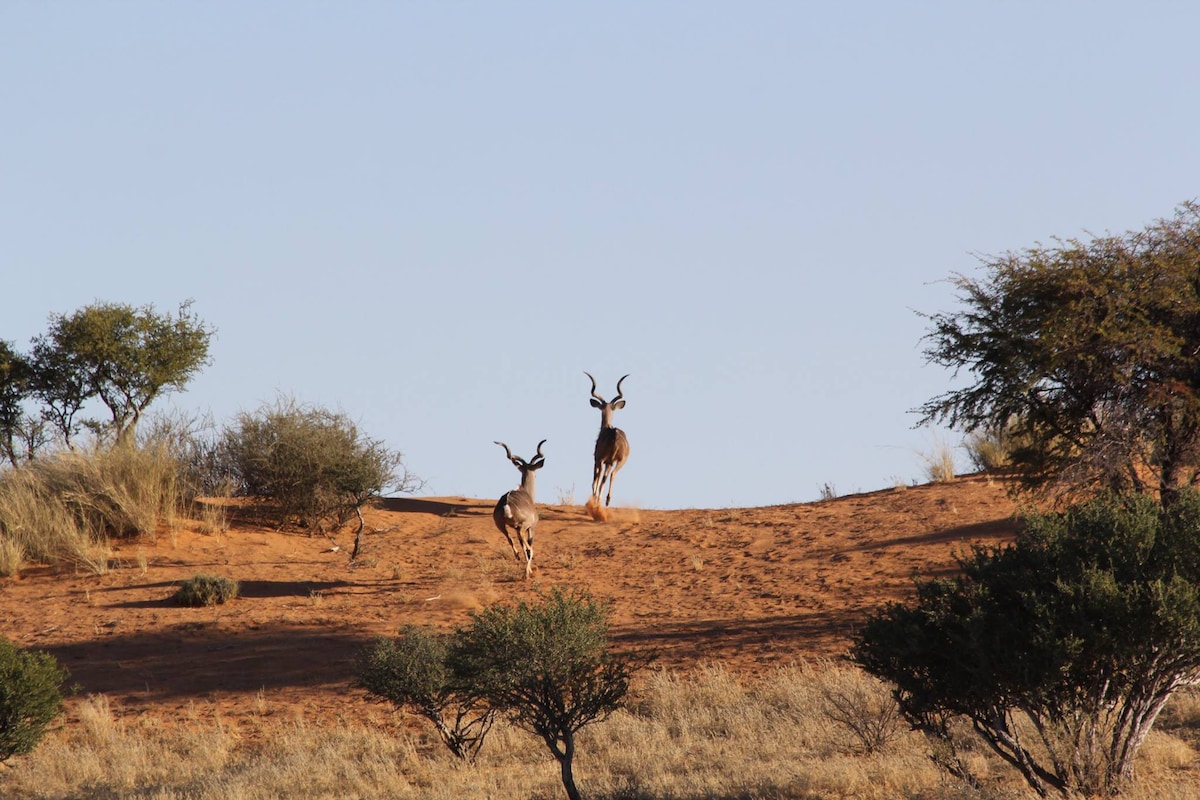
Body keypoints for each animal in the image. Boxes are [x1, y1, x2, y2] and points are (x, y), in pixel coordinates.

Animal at [489, 438, 547, 582]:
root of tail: (506, 502)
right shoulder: (531, 528)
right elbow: (528, 546)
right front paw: (528, 571)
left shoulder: (514, 528)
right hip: (522, 526)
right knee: (528, 547)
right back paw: (526, 570)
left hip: (501, 525)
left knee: (510, 539)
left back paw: (518, 557)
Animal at [588, 371, 633, 506]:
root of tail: (615, 434)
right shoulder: (607, 461)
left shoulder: (598, 459)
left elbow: (595, 479)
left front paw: (594, 498)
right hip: (619, 461)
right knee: (612, 474)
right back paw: (607, 500)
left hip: (605, 460)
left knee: (603, 476)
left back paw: (600, 499)